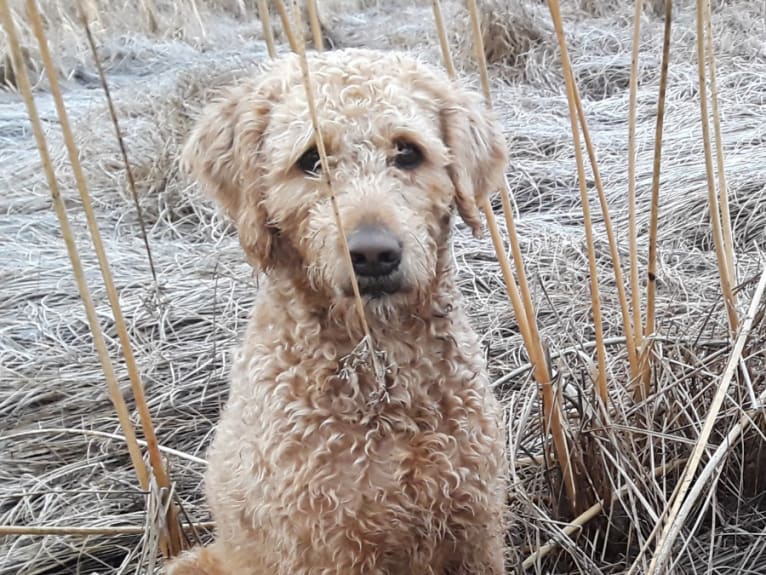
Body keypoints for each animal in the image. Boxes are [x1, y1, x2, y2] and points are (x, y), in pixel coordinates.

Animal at [171, 47, 512, 572]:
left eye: (407, 152)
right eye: (310, 160)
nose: (373, 254)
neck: (380, 371)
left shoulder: (475, 529)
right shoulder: (325, 548)